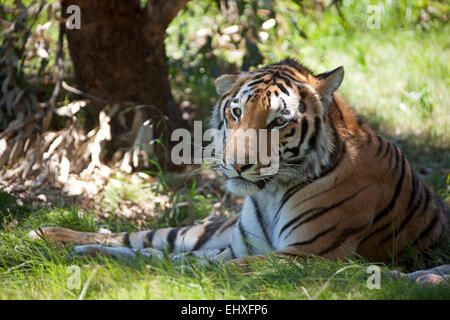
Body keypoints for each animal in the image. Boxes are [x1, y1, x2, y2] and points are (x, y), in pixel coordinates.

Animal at [29, 58, 448, 284]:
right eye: (236, 113)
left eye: (279, 122)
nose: (237, 164)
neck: (270, 194)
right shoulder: (241, 245)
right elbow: (160, 252)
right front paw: (90, 253)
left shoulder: (311, 256)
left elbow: (195, 266)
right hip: (211, 230)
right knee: (145, 235)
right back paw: (49, 234)